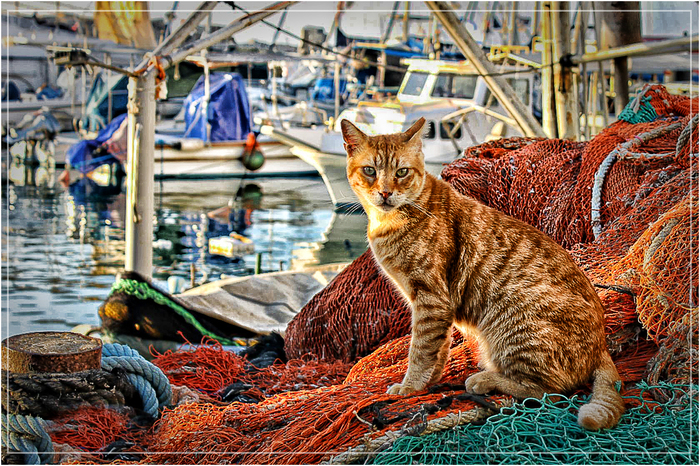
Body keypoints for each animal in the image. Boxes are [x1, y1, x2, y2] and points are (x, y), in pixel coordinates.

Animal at [342, 116, 628, 430]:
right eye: (370, 170)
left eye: (401, 172)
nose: (385, 192)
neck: (387, 222)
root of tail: (601, 344)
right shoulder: (434, 305)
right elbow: (438, 348)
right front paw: (430, 382)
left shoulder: (430, 297)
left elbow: (420, 349)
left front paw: (411, 387)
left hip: (512, 322)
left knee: (547, 391)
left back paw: (485, 379)